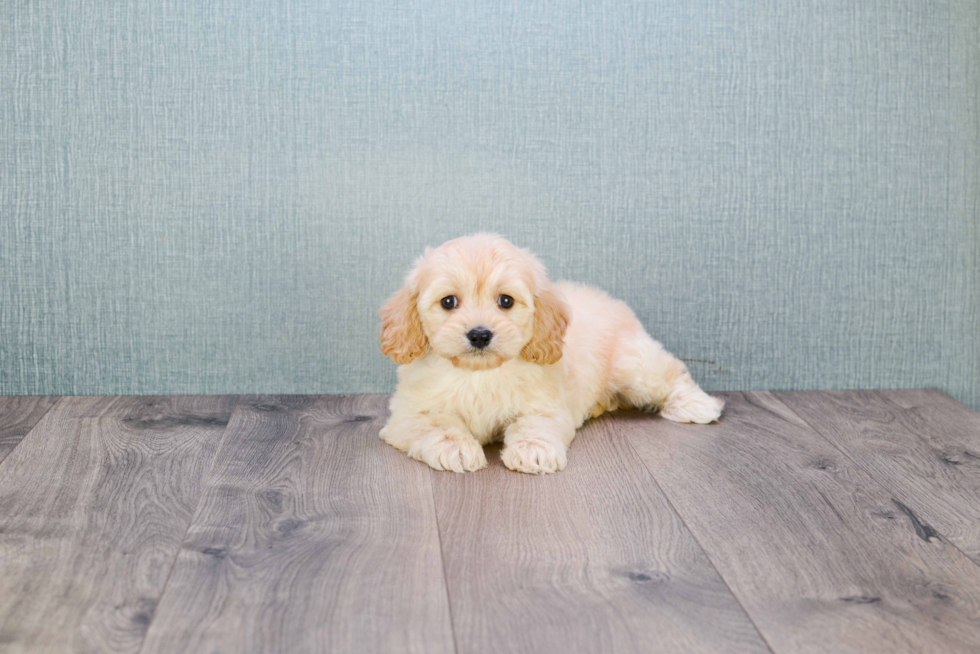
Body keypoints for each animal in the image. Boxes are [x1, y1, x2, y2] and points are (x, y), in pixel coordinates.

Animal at [378, 236, 724, 476]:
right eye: (448, 302)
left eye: (506, 301)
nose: (479, 334)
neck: (480, 374)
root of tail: (614, 302)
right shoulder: (408, 415)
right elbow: (439, 424)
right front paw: (456, 448)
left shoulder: (545, 406)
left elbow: (534, 425)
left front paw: (533, 451)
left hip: (634, 366)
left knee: (671, 374)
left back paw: (696, 404)